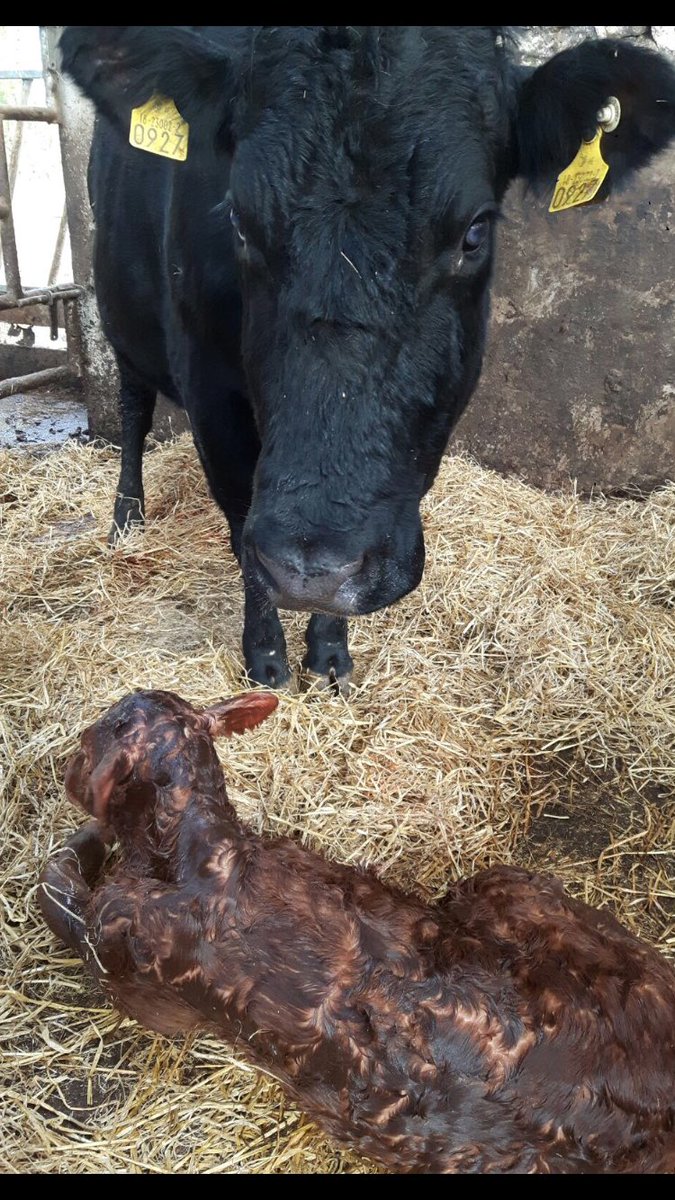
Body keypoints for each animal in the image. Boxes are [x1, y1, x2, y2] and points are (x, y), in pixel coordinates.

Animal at [60, 27, 675, 690]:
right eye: (239, 222)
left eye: (474, 233)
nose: (309, 569)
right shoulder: (208, 389)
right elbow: (238, 508)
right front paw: (266, 658)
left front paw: (329, 653)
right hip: (118, 318)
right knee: (133, 412)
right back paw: (126, 519)